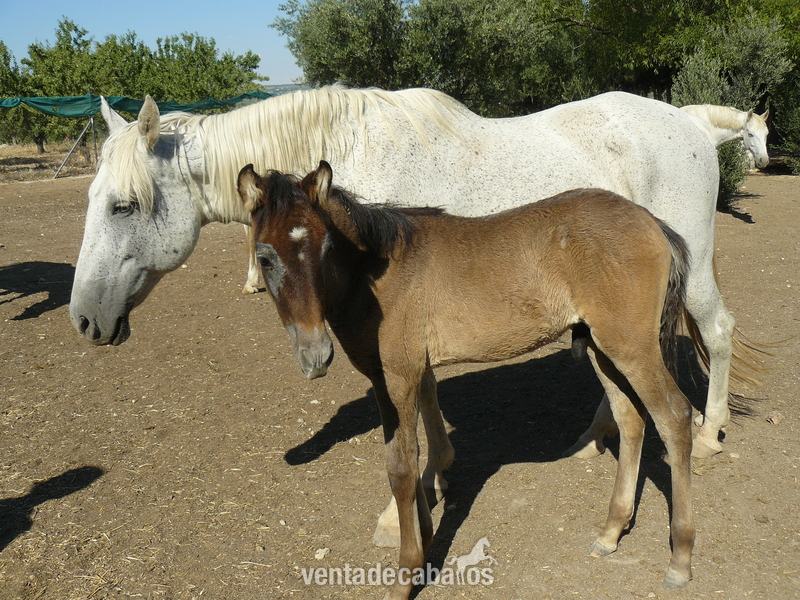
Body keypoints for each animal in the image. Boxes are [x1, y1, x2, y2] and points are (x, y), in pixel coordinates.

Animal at [238, 161, 696, 597]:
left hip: (631, 347)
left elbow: (401, 467)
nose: (315, 355)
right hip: (604, 348)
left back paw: (680, 559)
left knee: (675, 417)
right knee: (631, 419)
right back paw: (611, 531)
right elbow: (420, 450)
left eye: (326, 248)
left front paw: (406, 573)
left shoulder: (396, 376)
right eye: (264, 257)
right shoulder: (409, 374)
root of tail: (650, 220)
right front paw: (424, 535)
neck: (376, 271)